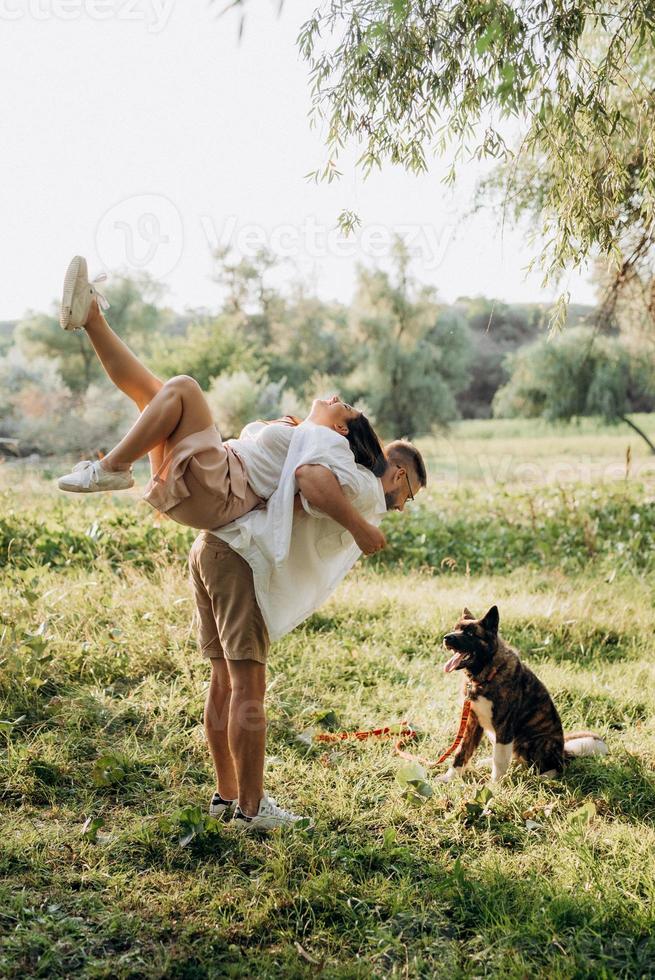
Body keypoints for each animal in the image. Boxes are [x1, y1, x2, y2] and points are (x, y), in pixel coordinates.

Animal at [438, 600, 608, 784]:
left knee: (554, 767)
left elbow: (499, 761)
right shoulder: (472, 722)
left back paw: (542, 778)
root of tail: (563, 752)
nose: (446, 638)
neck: (485, 675)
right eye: (455, 628)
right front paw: (449, 777)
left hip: (536, 742)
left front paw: (494, 786)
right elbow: (462, 751)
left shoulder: (504, 727)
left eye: (470, 633)